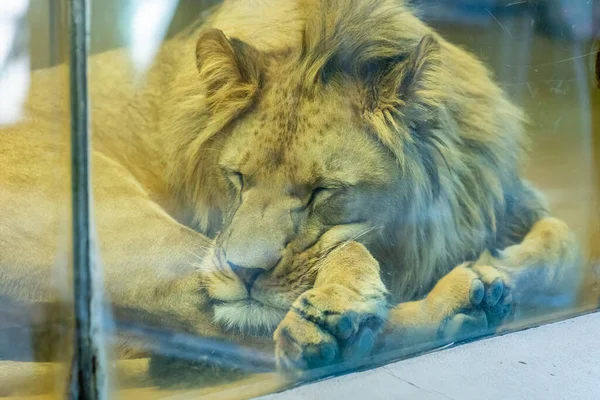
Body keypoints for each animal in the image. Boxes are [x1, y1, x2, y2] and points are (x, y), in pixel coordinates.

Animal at [0, 0, 592, 390]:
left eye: (322, 191)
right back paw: (447, 306)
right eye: (237, 178)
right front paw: (342, 301)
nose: (243, 272)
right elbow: (345, 247)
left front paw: (512, 262)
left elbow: (565, 240)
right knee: (232, 333)